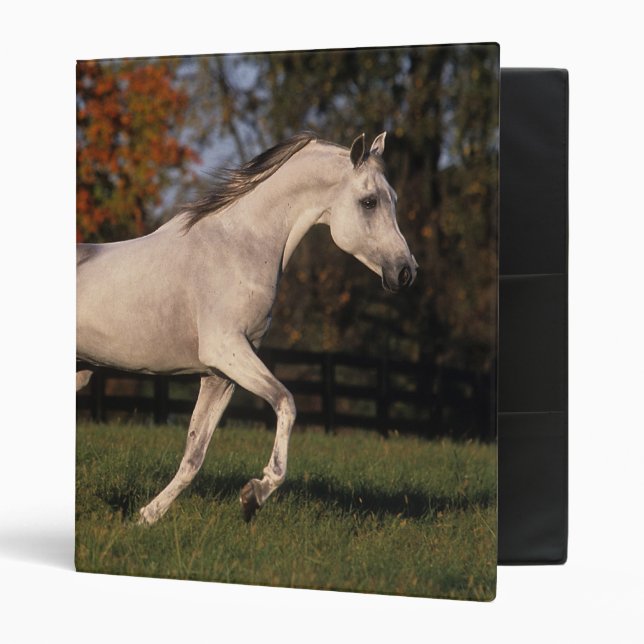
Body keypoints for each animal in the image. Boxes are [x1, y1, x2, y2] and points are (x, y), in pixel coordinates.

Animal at [76, 131, 417, 523]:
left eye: (394, 199)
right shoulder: (227, 350)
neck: (238, 247)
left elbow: (194, 455)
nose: (406, 272)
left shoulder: (220, 375)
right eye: (369, 202)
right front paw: (256, 493)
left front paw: (147, 517)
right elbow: (286, 402)